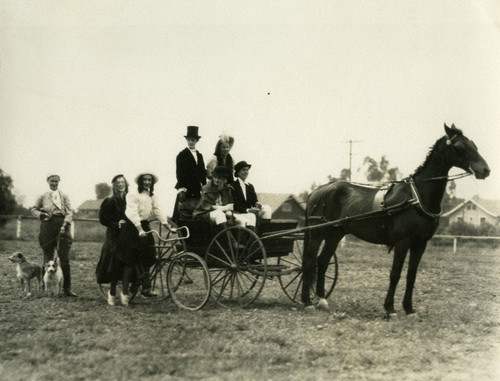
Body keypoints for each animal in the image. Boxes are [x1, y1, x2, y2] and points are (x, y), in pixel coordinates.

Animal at [302, 123, 490, 316]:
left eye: (474, 145)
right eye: (460, 147)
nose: (485, 170)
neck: (417, 197)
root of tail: (317, 191)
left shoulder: (420, 244)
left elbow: (411, 275)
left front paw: (409, 308)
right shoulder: (402, 242)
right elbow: (395, 274)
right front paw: (390, 308)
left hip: (335, 235)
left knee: (322, 261)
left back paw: (322, 300)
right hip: (317, 235)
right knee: (309, 262)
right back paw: (307, 301)